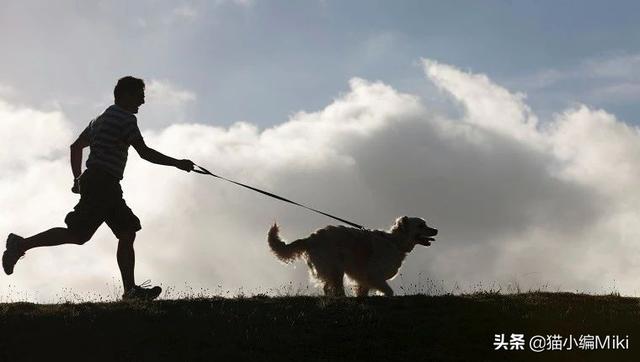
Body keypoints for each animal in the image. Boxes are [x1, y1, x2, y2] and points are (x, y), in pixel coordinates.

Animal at [268, 216, 438, 296]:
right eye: (421, 225)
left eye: (426, 224)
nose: (436, 230)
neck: (394, 242)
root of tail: (311, 238)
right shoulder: (373, 276)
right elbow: (389, 292)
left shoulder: (365, 280)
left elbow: (363, 293)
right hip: (335, 269)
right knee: (335, 289)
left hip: (333, 270)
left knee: (327, 288)